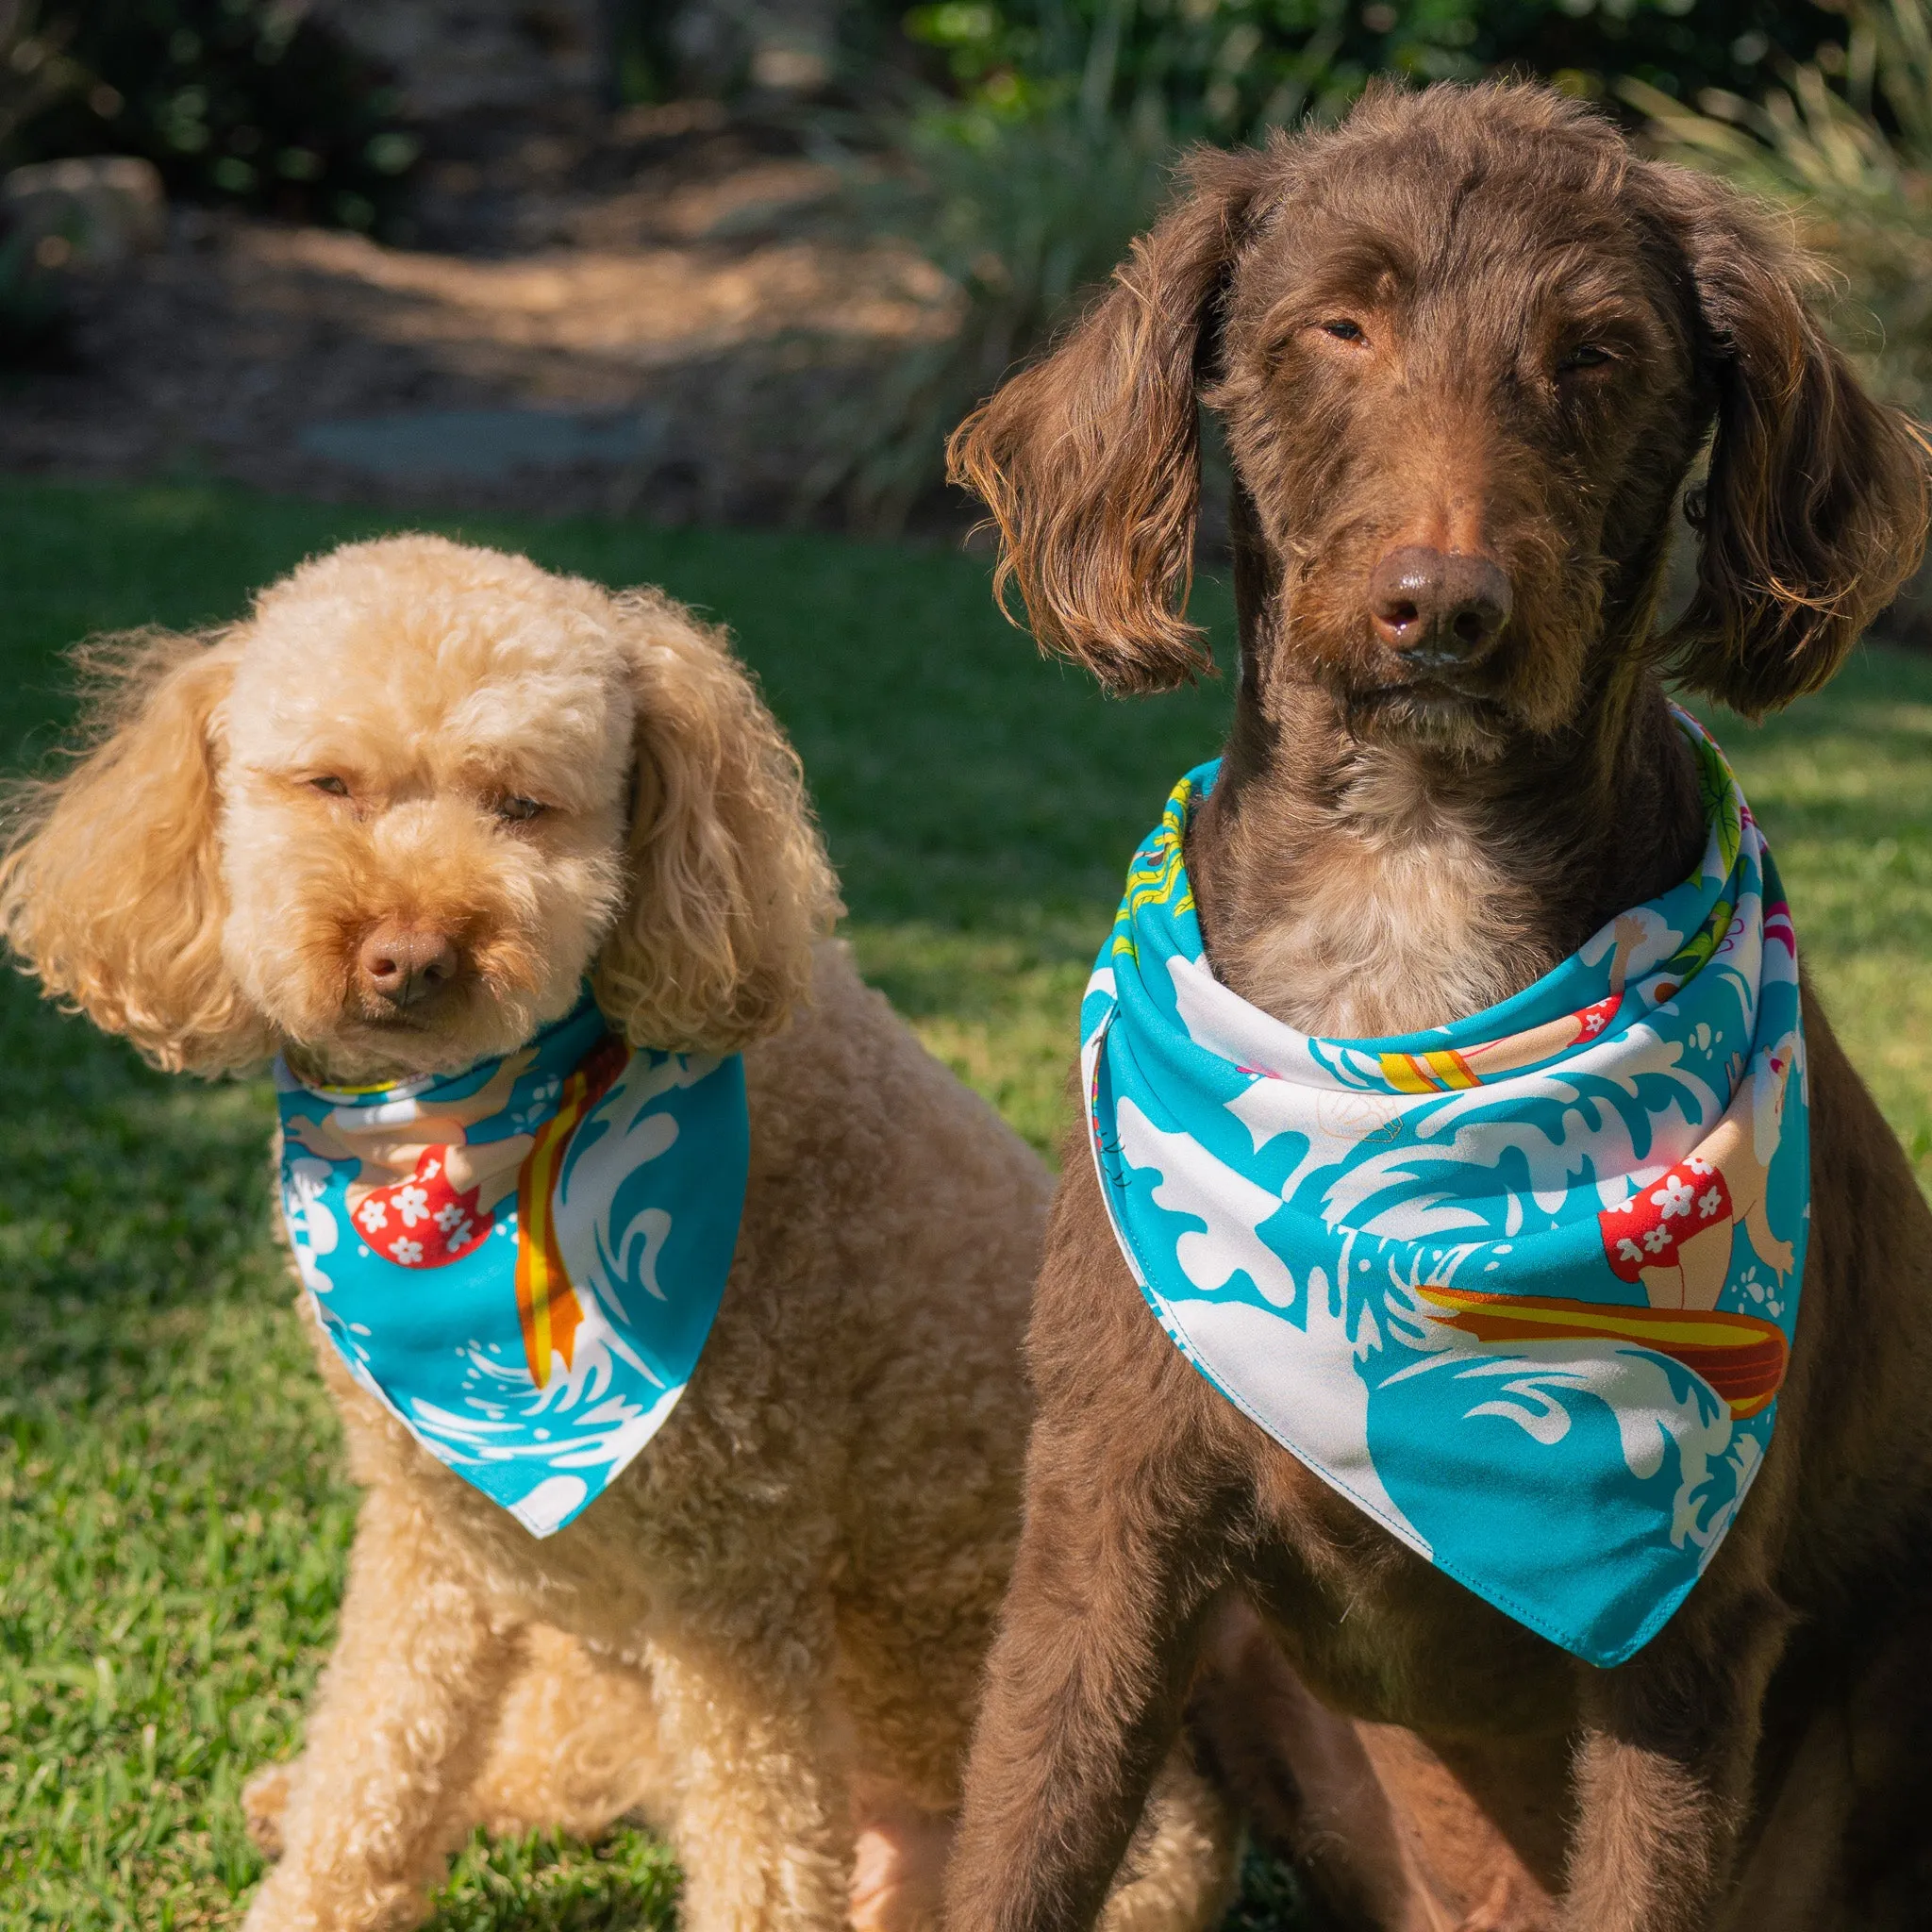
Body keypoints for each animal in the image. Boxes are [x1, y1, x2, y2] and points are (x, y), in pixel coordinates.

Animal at [0, 537, 1236, 1932]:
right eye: (330, 785)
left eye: (525, 806)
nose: (409, 957)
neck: (467, 1136)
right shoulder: (432, 1538)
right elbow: (377, 1759)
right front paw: (313, 1879)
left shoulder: (735, 1587)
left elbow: (760, 1852)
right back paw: (285, 1793)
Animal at [939, 83, 1932, 1932]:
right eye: (1338, 324)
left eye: (1598, 352)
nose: (1442, 607)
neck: (1403, 891)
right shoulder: (1103, 1538)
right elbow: (1019, 1856)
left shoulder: (1684, 1644)